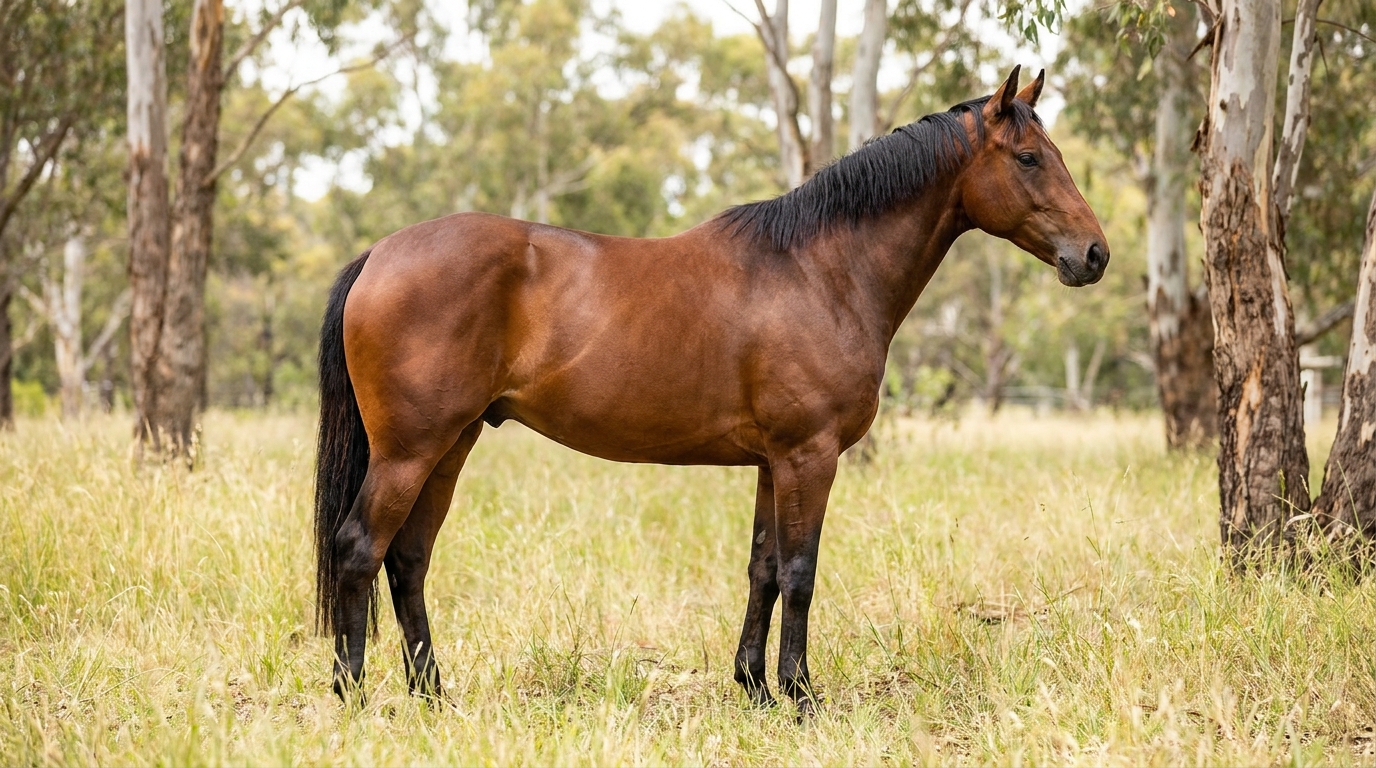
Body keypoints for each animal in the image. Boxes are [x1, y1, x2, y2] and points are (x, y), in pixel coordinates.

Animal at [314, 66, 1109, 715]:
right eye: (1030, 158)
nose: (1095, 254)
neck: (821, 270)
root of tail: (379, 254)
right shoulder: (809, 455)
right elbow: (800, 572)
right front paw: (800, 694)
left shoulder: (773, 462)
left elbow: (763, 569)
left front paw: (754, 686)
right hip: (411, 450)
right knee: (359, 548)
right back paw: (354, 695)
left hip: (451, 444)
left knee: (408, 559)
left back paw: (432, 693)